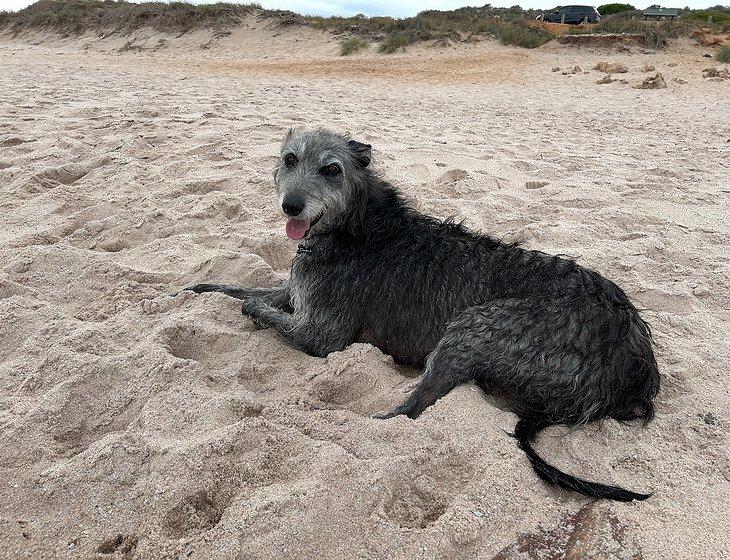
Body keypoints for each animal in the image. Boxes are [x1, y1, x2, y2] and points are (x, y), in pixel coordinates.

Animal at [182, 128, 660, 504]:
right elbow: (238, 289)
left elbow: (258, 309)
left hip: (478, 326)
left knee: (410, 410)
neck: (356, 225)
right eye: (290, 159)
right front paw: (196, 290)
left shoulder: (322, 332)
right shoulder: (293, 293)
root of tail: (636, 363)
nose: (291, 206)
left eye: (332, 169)